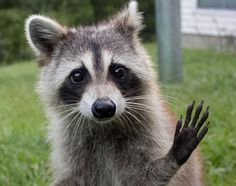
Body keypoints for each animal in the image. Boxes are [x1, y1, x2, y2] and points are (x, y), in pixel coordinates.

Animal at [24, 0, 209, 185]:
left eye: (119, 71)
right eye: (77, 76)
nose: (104, 107)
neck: (104, 127)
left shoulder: (152, 133)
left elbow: (148, 177)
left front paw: (169, 161)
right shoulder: (70, 148)